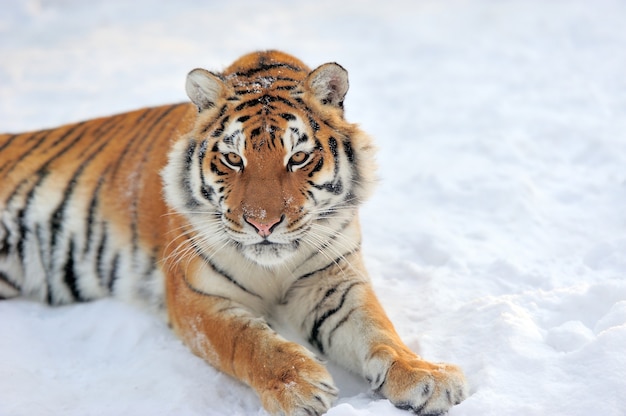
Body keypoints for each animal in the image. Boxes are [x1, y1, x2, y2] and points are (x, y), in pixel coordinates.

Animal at [0, 51, 466, 416]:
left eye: (298, 157)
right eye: (232, 158)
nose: (263, 224)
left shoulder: (333, 281)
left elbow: (379, 331)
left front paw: (425, 376)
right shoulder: (196, 296)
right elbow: (249, 341)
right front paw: (299, 386)